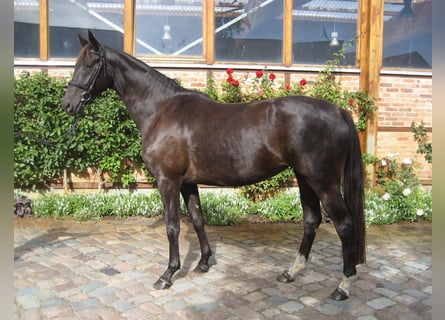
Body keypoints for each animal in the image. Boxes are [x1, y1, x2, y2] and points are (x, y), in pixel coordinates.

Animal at [64, 29, 366, 300]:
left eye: (89, 65)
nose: (68, 105)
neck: (161, 109)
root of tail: (339, 110)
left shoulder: (168, 181)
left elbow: (172, 225)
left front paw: (168, 274)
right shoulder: (188, 183)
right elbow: (197, 219)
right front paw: (203, 262)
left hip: (324, 183)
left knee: (344, 225)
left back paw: (343, 286)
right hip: (305, 178)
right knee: (311, 221)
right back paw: (291, 272)